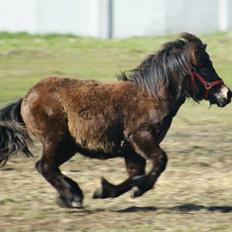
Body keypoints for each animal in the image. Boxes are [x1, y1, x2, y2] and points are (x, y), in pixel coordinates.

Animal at [0, 33, 230, 208]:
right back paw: (72, 197)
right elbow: (159, 162)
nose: (226, 94)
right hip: (55, 141)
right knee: (44, 166)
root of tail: (26, 98)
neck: (151, 96)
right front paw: (137, 189)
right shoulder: (141, 137)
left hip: (67, 146)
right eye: (205, 67)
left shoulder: (132, 151)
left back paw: (71, 195)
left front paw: (105, 190)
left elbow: (135, 174)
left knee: (50, 168)